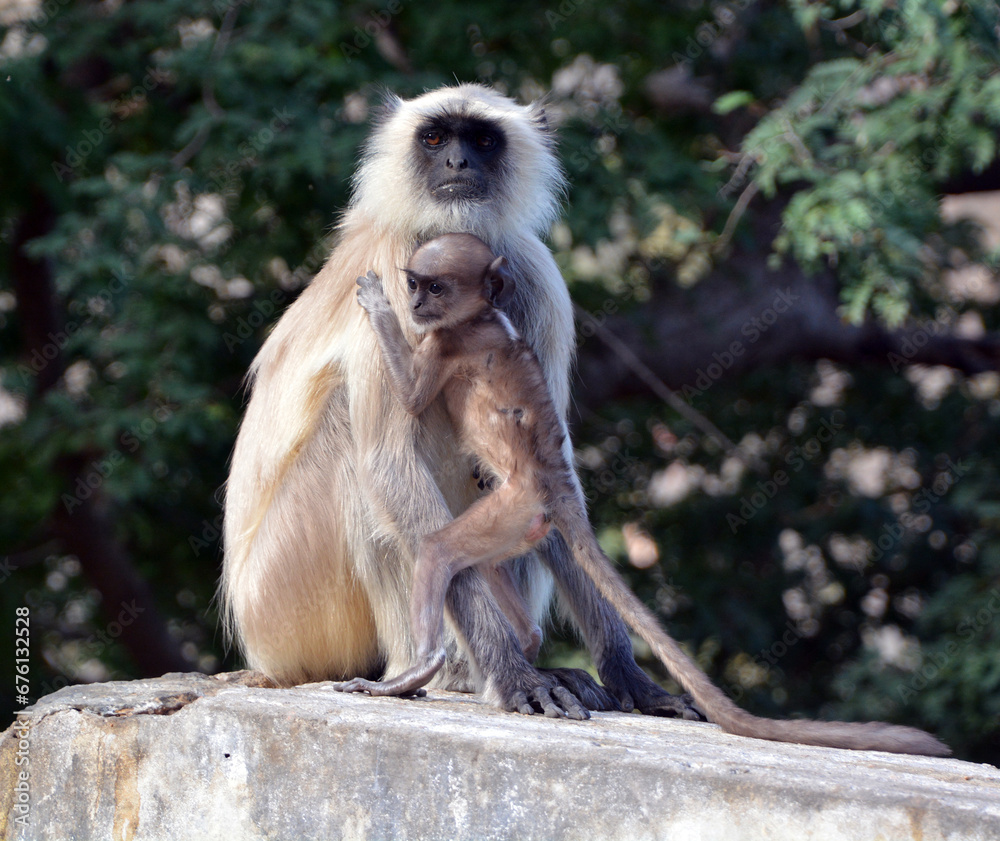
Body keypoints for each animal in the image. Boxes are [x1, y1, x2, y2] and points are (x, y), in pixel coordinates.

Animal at [222, 84, 699, 723]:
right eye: (434, 137)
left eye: (481, 139)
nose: (457, 163)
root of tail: (259, 649)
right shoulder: (392, 271)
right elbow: (390, 467)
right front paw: (511, 676)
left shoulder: (534, 274)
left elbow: (547, 464)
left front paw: (630, 674)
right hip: (286, 603)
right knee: (356, 441)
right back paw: (447, 672)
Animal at [335, 232, 950, 757]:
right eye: (416, 283)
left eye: (433, 287)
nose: (414, 302)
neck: (483, 316)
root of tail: (554, 481)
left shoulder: (446, 342)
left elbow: (413, 396)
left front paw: (378, 308)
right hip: (518, 522)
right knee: (477, 565)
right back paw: (522, 649)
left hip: (513, 509)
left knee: (438, 549)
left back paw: (423, 668)